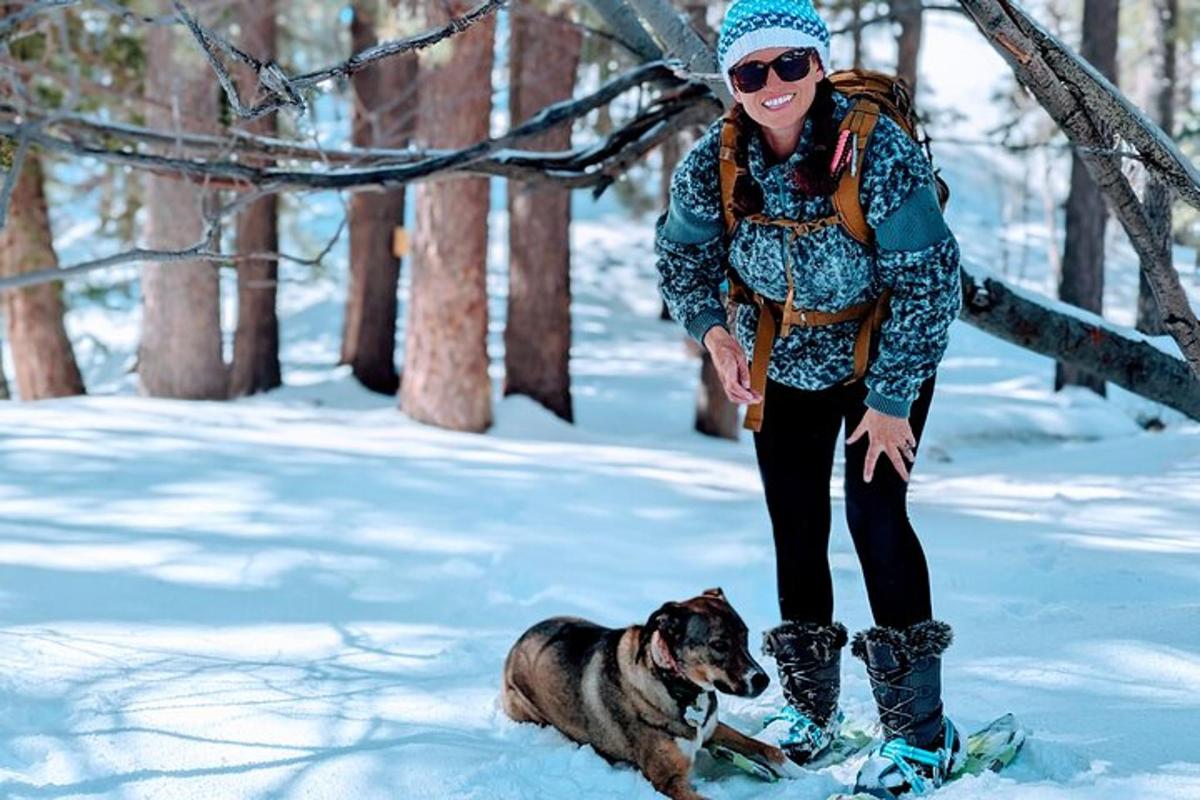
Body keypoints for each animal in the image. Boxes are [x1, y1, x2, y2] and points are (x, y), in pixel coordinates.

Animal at [499, 587, 787, 800]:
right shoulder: (668, 780)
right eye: (718, 644)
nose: (763, 680)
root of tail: (518, 643)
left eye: (745, 636)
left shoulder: (712, 729)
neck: (673, 684)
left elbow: (769, 750)